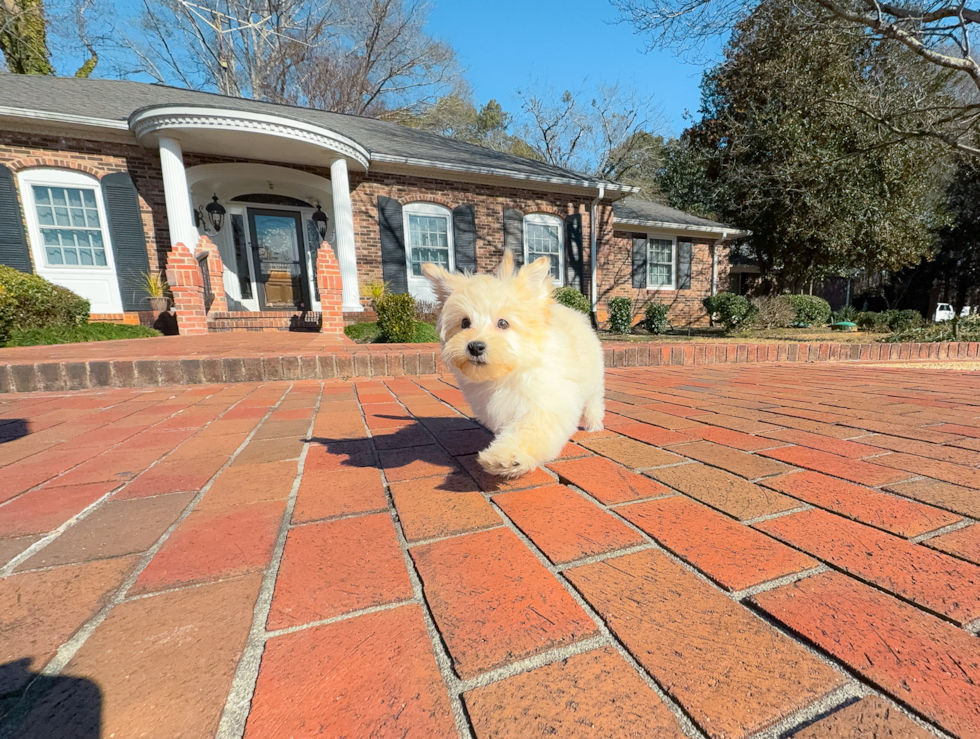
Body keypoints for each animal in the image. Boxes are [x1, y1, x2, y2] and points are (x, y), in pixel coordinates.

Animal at [424, 251, 604, 476]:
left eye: (503, 323)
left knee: (594, 401)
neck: (510, 372)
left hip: (594, 378)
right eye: (465, 323)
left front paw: (507, 456)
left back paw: (593, 423)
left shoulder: (545, 402)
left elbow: (529, 429)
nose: (475, 346)